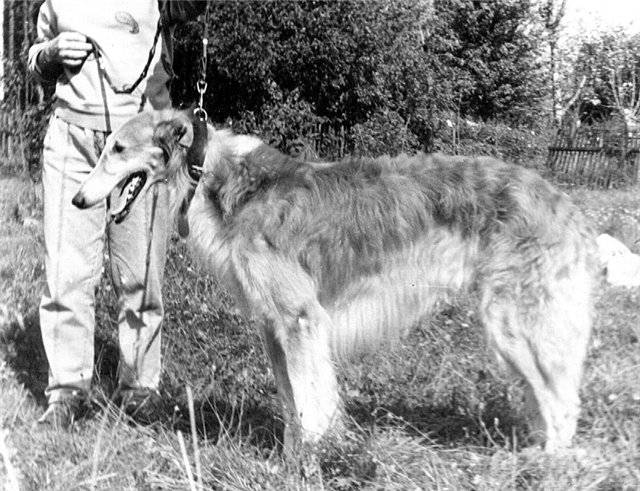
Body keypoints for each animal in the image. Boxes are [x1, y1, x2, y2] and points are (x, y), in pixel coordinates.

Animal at [72, 109, 599, 454]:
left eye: (117, 148)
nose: (78, 200)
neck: (225, 182)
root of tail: (564, 203)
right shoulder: (273, 326)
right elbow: (292, 405)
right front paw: (290, 460)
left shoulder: (300, 320)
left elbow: (311, 403)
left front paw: (310, 463)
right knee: (547, 398)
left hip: (516, 323)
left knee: (562, 400)